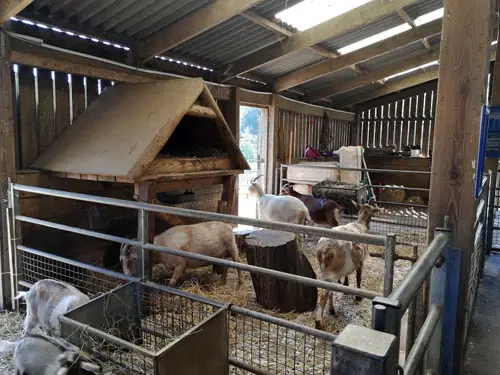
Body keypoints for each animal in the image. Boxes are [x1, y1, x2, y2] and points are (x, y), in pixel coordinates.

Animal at [312, 200, 382, 328]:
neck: (360, 224)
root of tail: (325, 250)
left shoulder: (348, 265)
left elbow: (347, 274)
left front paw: (346, 284)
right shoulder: (361, 261)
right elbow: (359, 277)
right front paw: (358, 296)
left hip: (324, 269)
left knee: (328, 290)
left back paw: (331, 310)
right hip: (332, 271)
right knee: (324, 294)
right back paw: (319, 321)